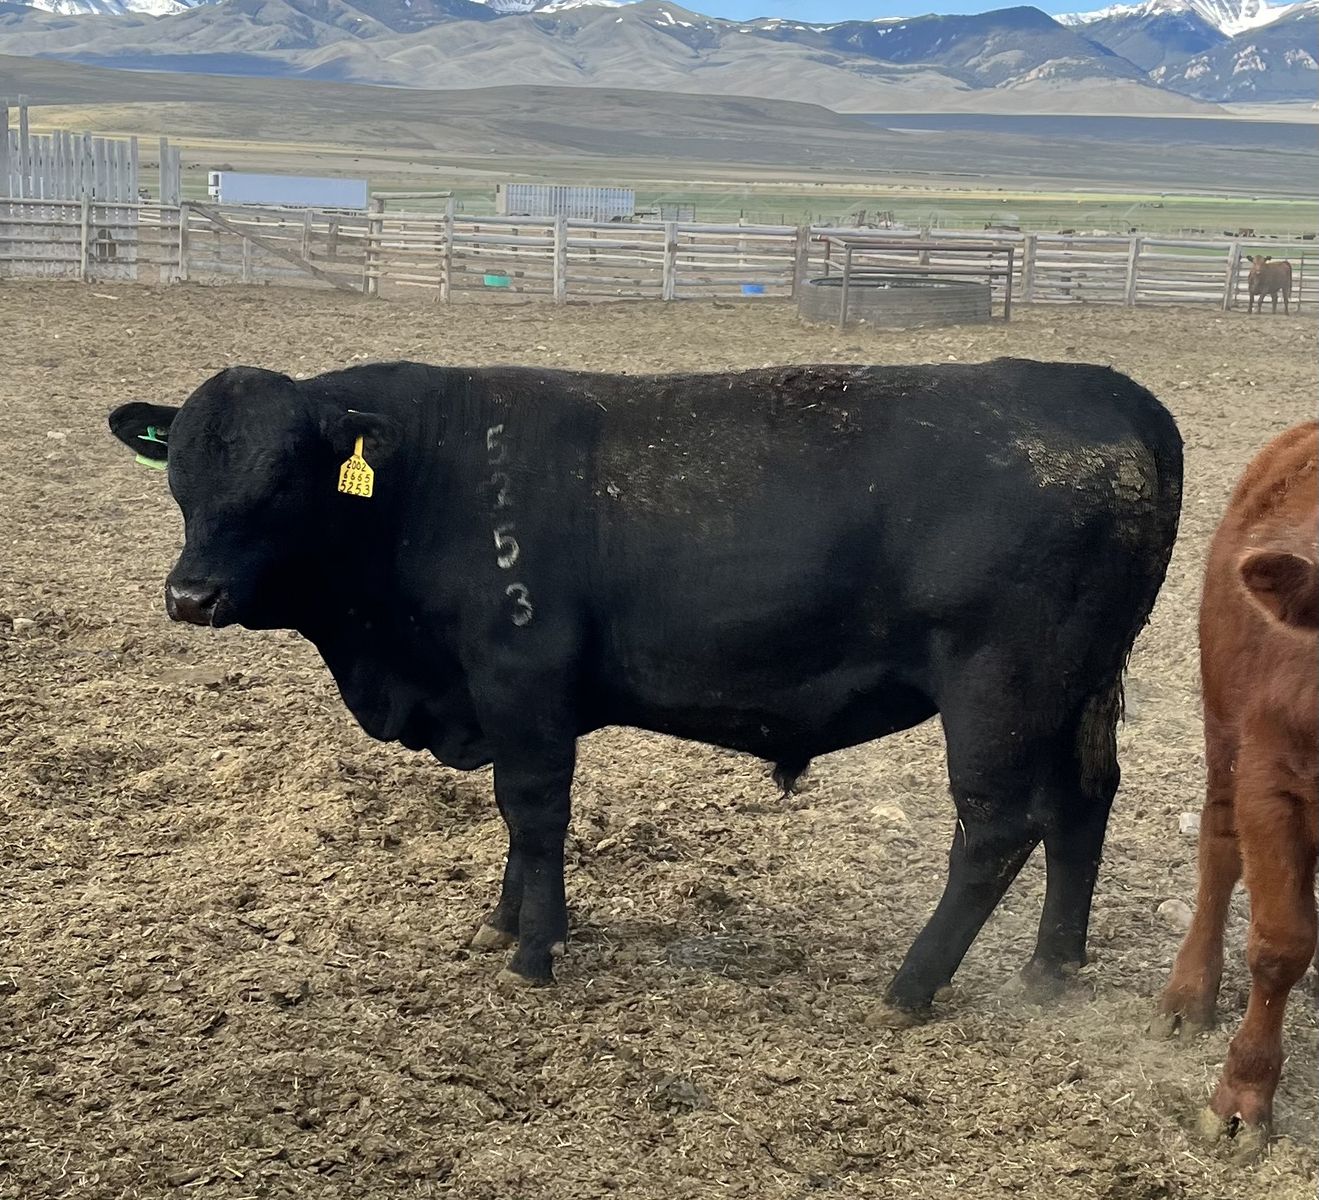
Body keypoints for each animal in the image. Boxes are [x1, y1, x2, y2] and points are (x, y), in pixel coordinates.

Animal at [108, 357, 1182, 1019]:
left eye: (286, 475)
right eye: (182, 473)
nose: (190, 595)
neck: (434, 479)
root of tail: (1102, 389)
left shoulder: (522, 684)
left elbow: (533, 811)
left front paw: (534, 950)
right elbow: (516, 821)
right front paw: (506, 920)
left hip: (1001, 689)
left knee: (996, 831)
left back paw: (909, 988)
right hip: (1079, 691)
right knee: (1081, 806)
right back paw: (1050, 968)